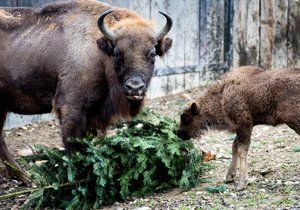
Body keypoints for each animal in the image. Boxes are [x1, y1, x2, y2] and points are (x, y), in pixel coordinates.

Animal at [0, 0, 172, 180]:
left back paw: (24, 178)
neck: (100, 54)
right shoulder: (71, 109)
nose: (134, 87)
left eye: (152, 54)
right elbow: (73, 148)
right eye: (117, 53)